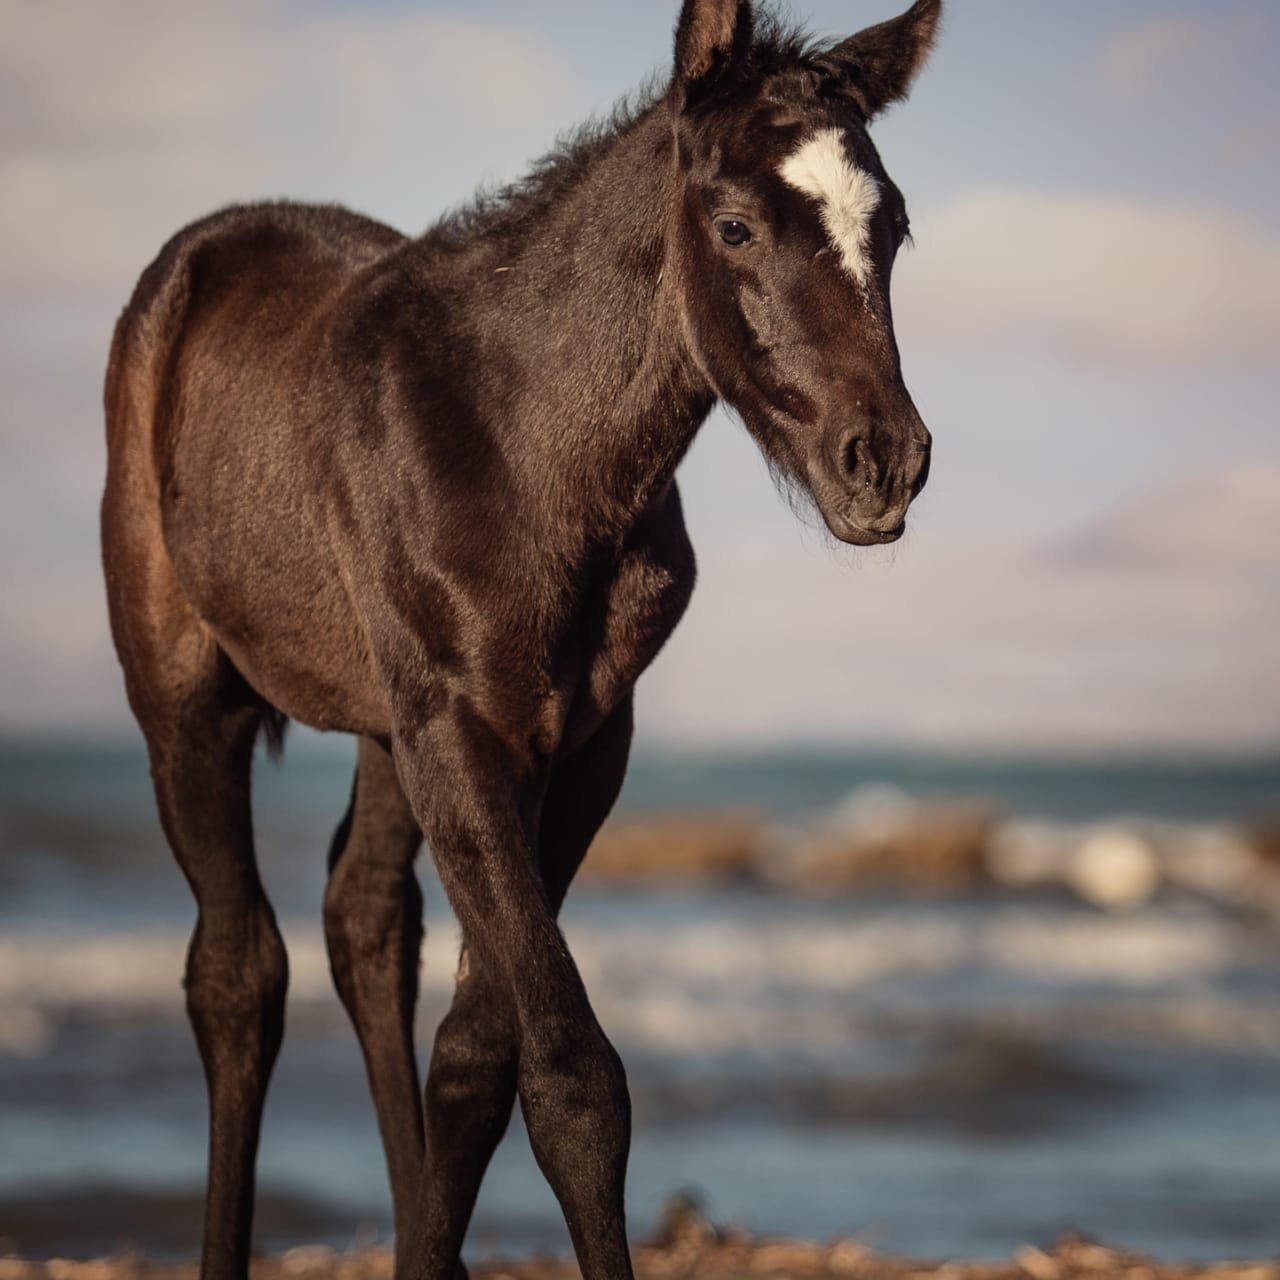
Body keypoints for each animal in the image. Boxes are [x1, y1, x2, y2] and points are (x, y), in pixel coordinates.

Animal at [100, 1, 940, 1277]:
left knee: (364, 923)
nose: (882, 461)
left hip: (382, 729)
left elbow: (476, 1059)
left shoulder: (580, 741)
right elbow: (571, 1075)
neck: (522, 450)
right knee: (236, 973)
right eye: (734, 225)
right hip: (185, 699)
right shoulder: (461, 731)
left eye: (890, 224)